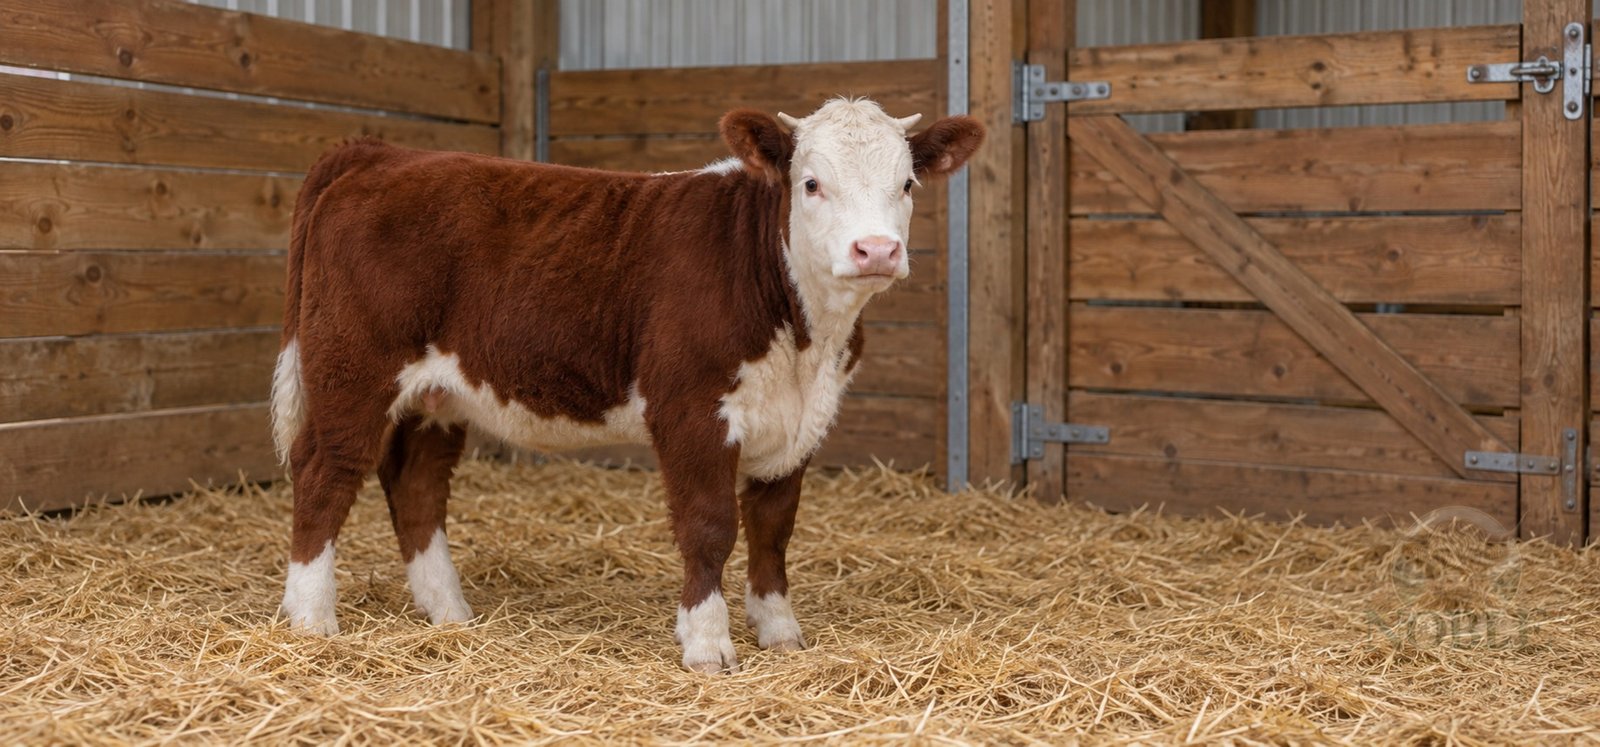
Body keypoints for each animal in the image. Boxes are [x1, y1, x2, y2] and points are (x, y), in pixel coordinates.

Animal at [271, 98, 984, 672]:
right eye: (811, 184)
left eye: (907, 182)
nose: (877, 250)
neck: (807, 342)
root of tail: (381, 153)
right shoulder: (690, 408)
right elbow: (710, 525)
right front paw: (707, 643)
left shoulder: (801, 422)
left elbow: (774, 527)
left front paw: (780, 632)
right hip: (351, 371)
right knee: (325, 471)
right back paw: (311, 621)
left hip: (436, 394)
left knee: (415, 483)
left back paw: (449, 613)